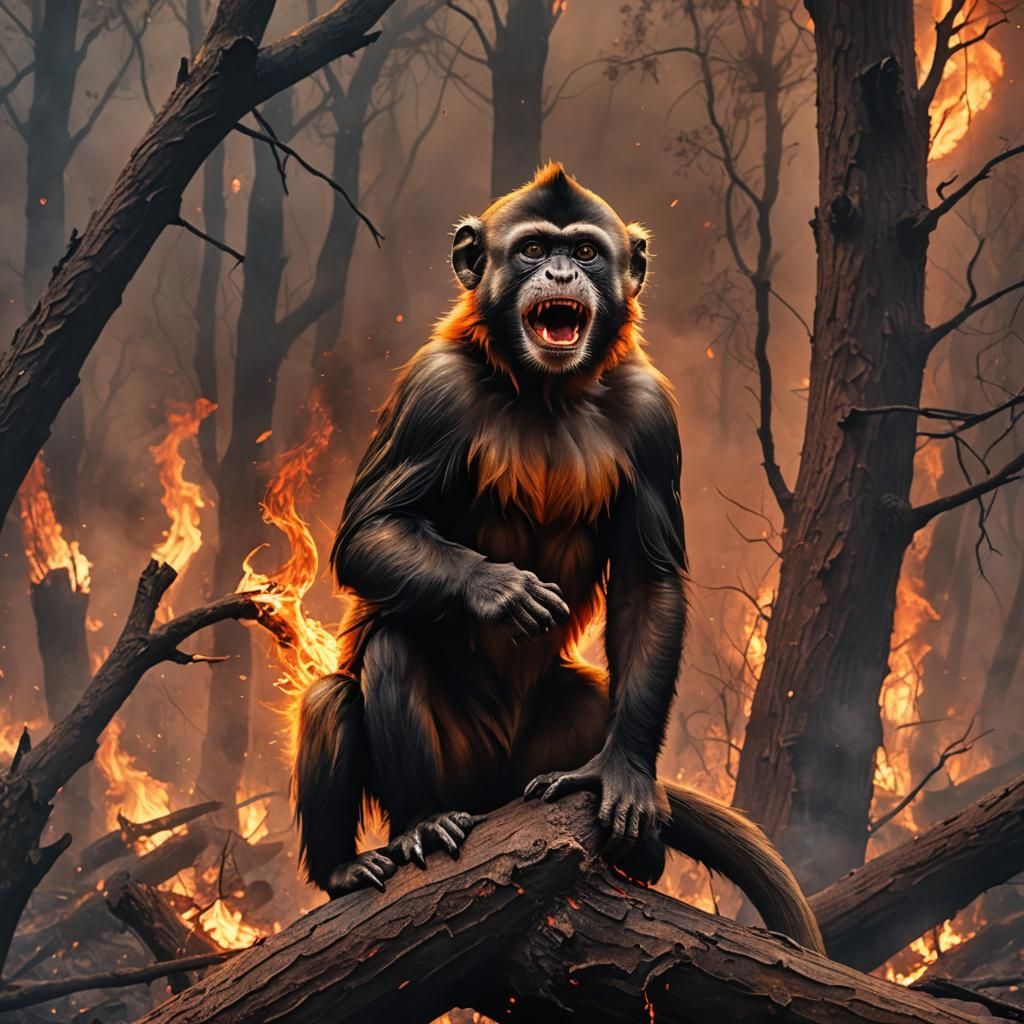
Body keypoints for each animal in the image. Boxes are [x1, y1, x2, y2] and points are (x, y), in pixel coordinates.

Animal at [294, 163, 824, 953]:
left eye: (587, 251)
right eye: (533, 248)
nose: (562, 272)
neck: (542, 388)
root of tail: (493, 795)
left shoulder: (650, 414)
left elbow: (647, 582)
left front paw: (625, 778)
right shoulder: (432, 391)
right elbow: (367, 534)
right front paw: (499, 590)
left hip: (540, 752)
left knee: (593, 699)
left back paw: (637, 840)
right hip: (459, 768)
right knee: (365, 666)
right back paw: (392, 840)